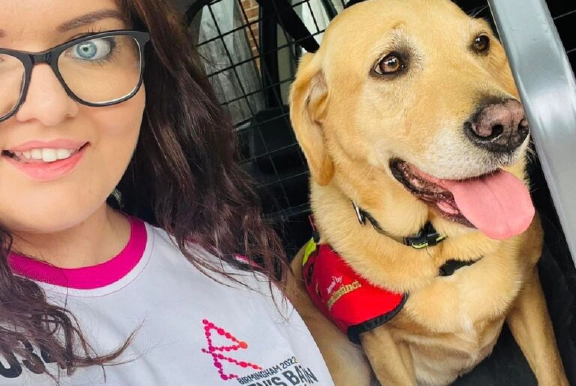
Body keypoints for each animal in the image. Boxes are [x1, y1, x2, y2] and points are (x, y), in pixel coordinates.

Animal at [286, 0, 568, 386]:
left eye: (481, 43)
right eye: (390, 64)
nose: (510, 124)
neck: (443, 257)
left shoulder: (529, 291)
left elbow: (552, 370)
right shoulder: (383, 346)